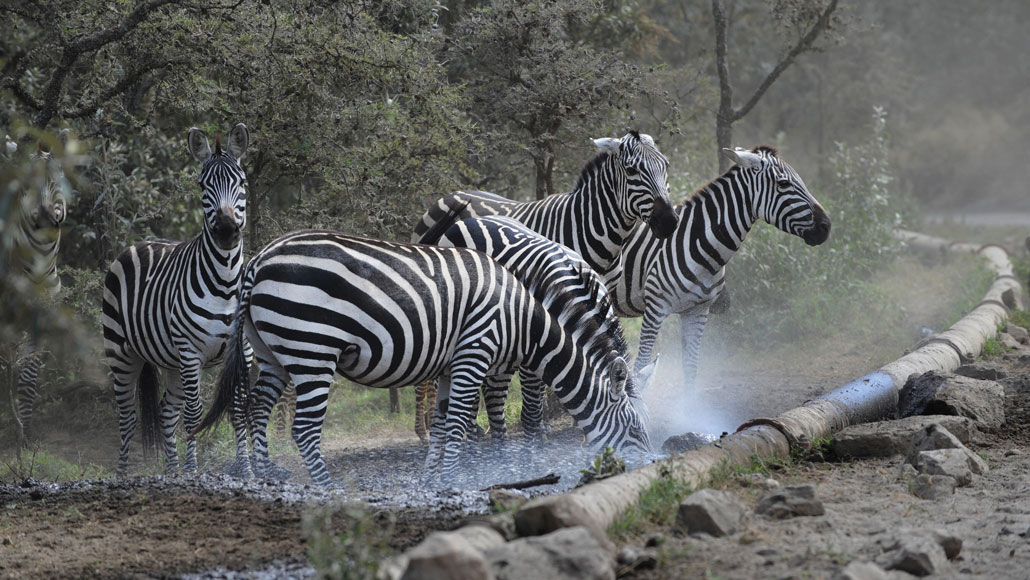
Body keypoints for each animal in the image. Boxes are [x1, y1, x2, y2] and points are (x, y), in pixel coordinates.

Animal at [103, 123, 249, 476]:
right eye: (202, 185)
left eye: (241, 182)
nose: (226, 231)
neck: (226, 282)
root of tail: (138, 243)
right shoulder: (191, 351)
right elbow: (194, 414)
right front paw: (193, 472)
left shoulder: (241, 351)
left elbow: (238, 409)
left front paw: (247, 469)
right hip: (121, 353)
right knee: (127, 417)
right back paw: (123, 474)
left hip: (170, 361)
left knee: (166, 412)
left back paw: (171, 472)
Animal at [603, 146, 831, 409]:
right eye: (783, 184)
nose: (826, 226)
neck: (698, 244)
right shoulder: (655, 309)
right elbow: (641, 364)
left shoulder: (698, 310)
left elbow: (691, 366)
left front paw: (690, 413)